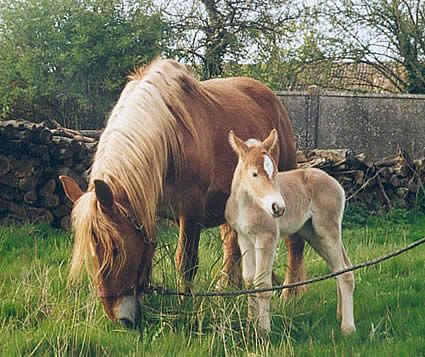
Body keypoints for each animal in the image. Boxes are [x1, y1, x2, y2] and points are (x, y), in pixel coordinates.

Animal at [59, 57, 298, 326]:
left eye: (116, 249)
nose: (120, 320)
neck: (169, 138)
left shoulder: (190, 212)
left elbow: (186, 261)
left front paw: (187, 304)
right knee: (232, 245)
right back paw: (227, 287)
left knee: (293, 243)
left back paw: (289, 293)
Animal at [225, 129, 354, 336]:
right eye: (254, 174)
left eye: (275, 172)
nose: (278, 208)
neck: (248, 204)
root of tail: (335, 183)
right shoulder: (244, 237)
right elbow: (249, 280)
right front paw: (250, 323)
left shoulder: (267, 238)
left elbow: (262, 284)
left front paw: (264, 331)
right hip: (313, 234)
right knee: (340, 267)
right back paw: (340, 315)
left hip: (328, 229)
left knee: (345, 273)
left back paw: (348, 327)